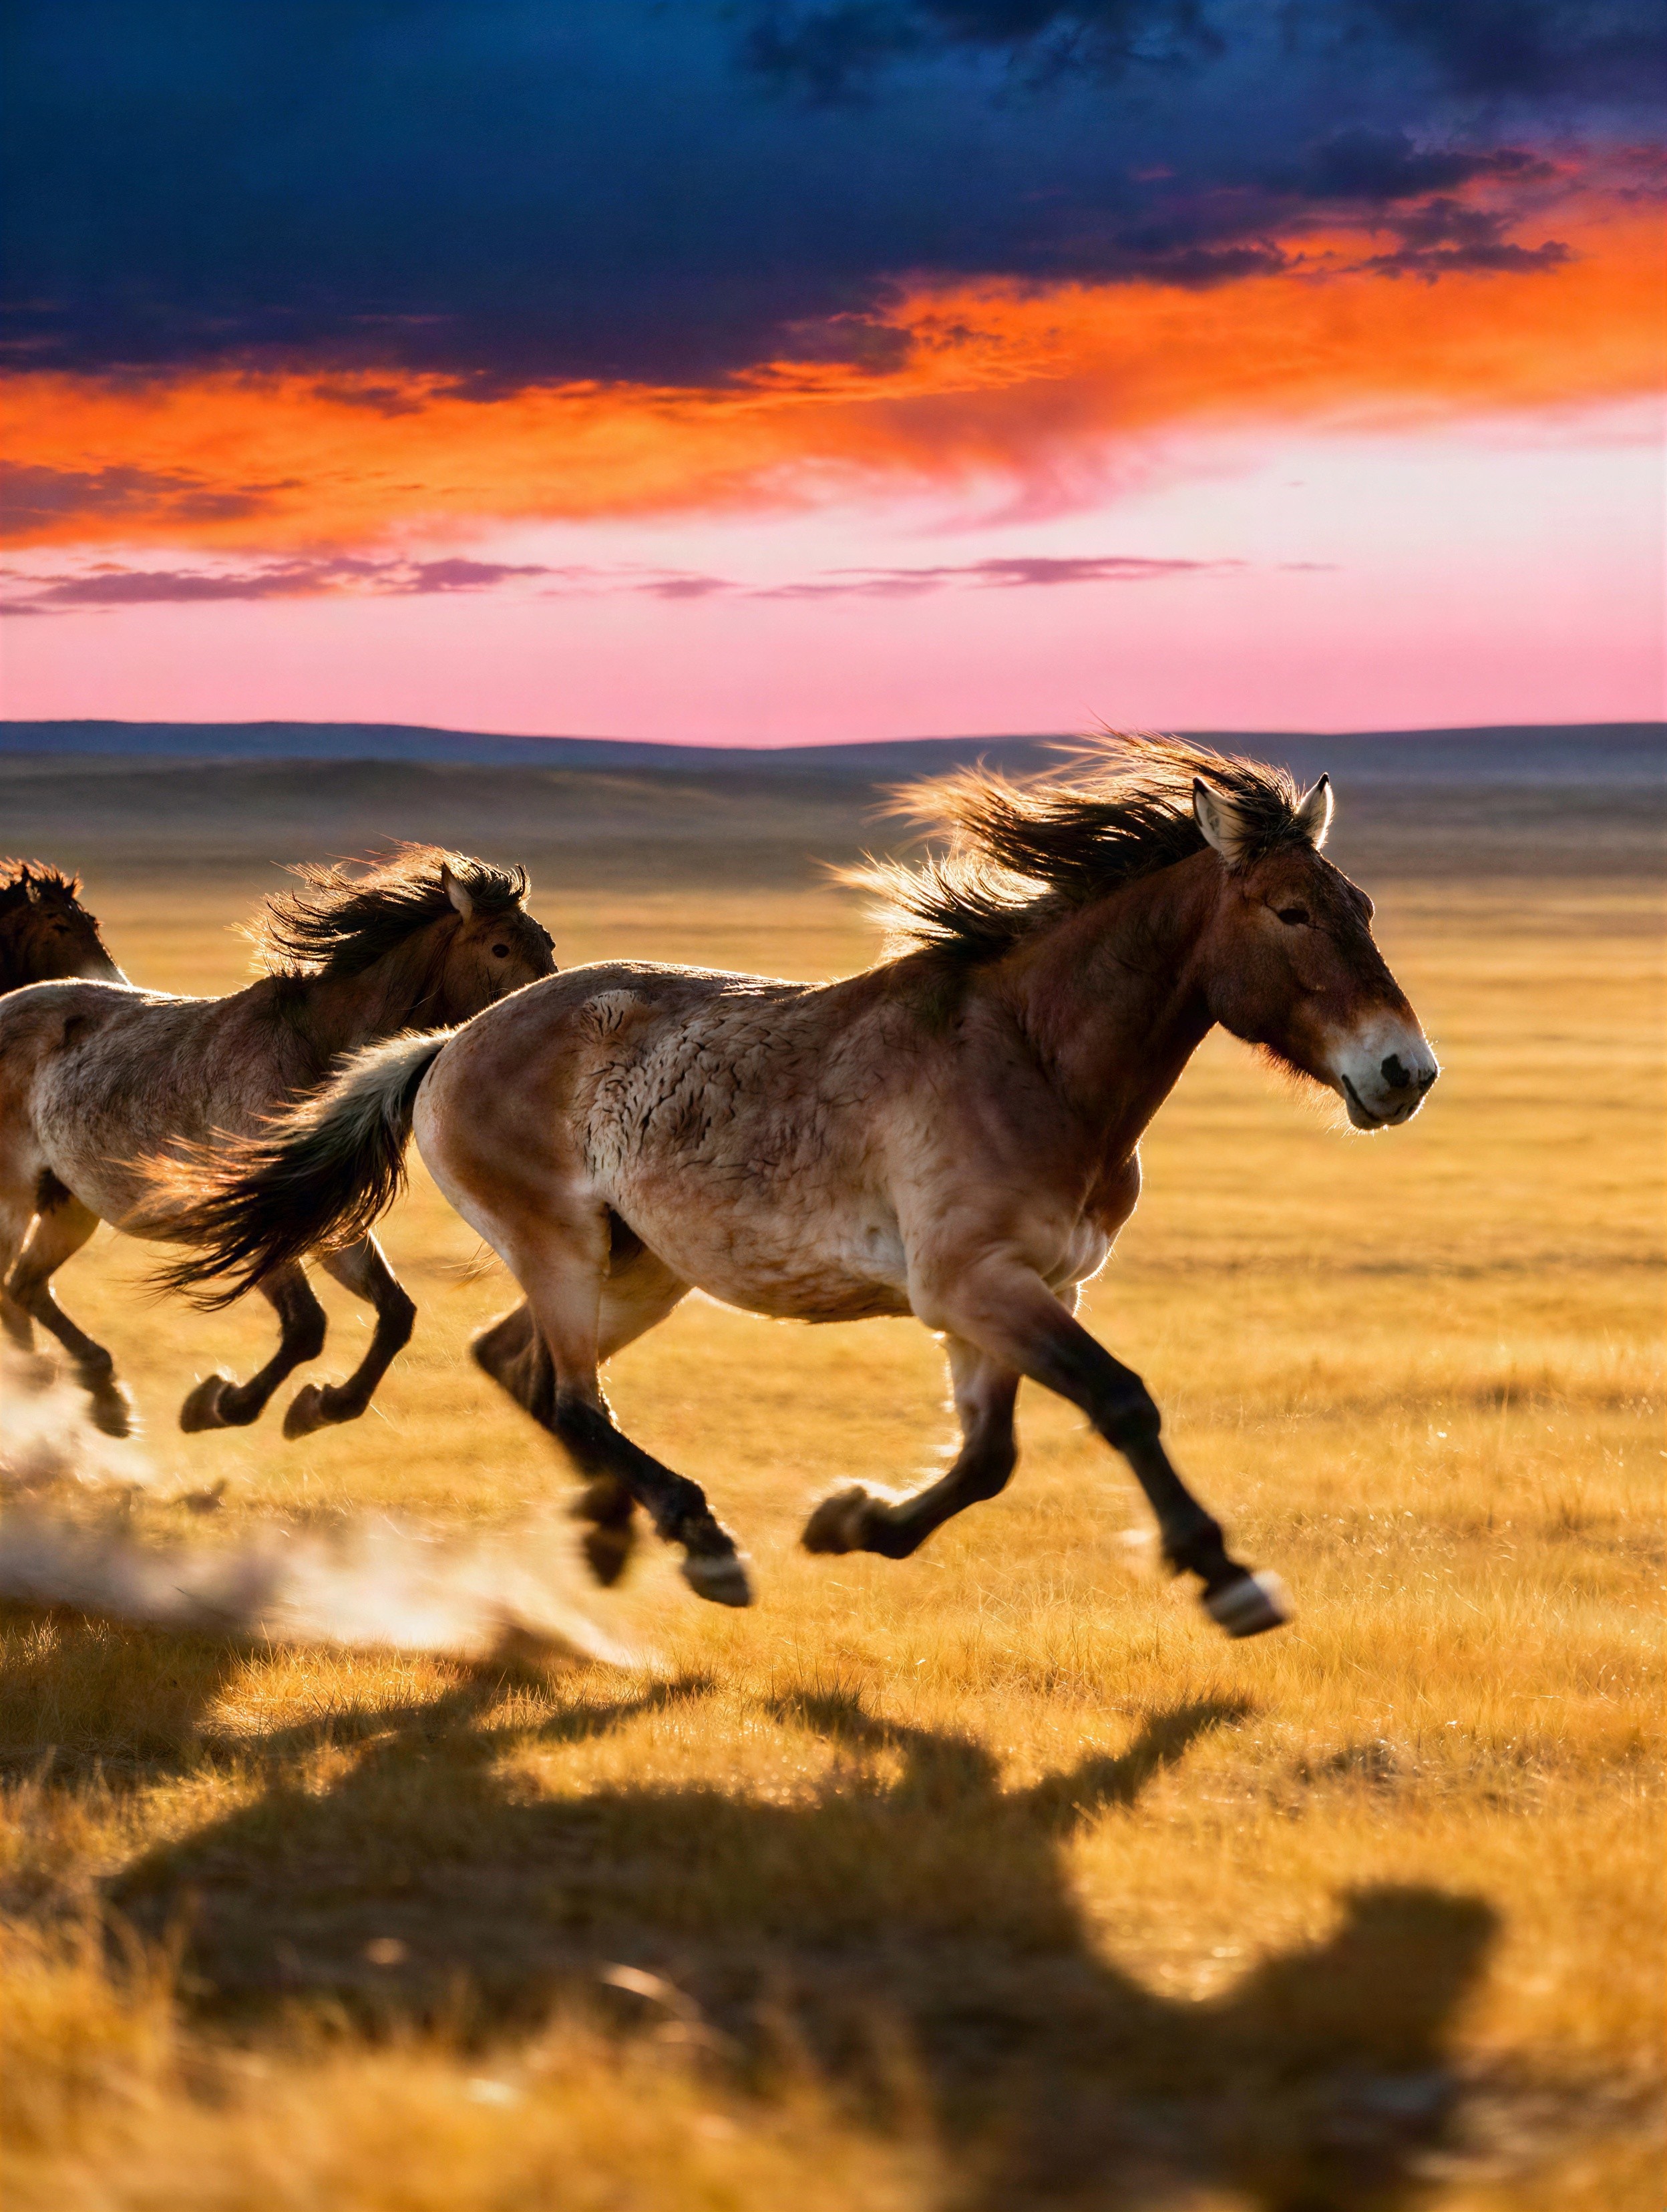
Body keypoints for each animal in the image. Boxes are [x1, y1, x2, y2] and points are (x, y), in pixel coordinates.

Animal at [152, 738, 1438, 1635]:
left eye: (1365, 907)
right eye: (1290, 911)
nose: (1404, 1071)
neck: (1032, 1056)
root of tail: (448, 1043)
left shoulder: (1019, 1293)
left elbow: (988, 1457)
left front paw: (856, 1521)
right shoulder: (976, 1284)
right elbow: (1119, 1403)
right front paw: (1226, 1576)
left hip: (639, 1268)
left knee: (522, 1370)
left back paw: (620, 1532)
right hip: (564, 1248)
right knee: (571, 1396)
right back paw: (699, 1539)